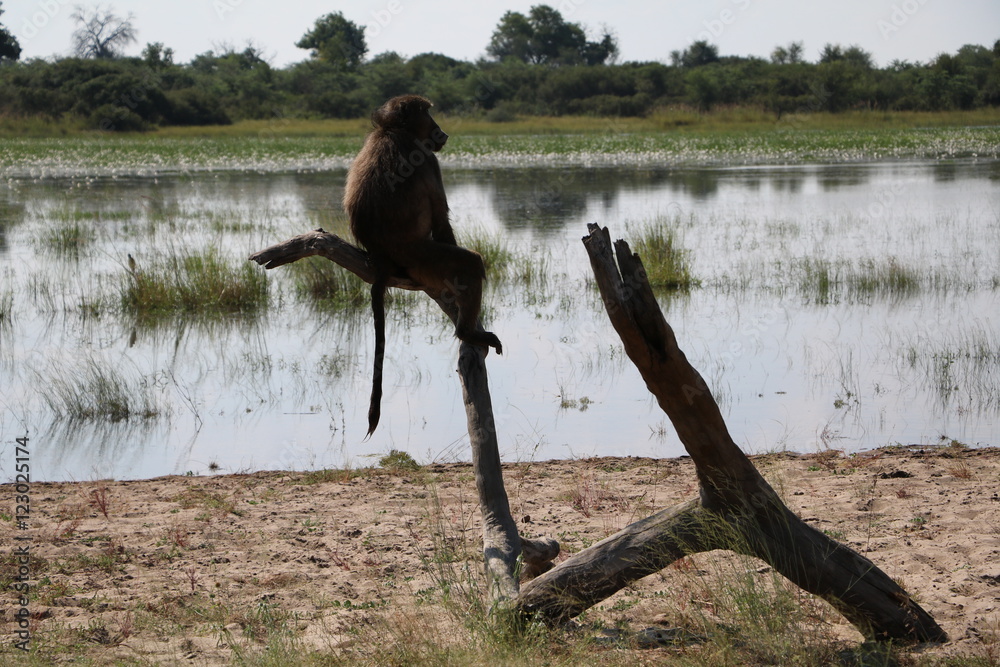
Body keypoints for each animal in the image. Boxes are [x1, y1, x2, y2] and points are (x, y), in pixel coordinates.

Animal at [343, 95, 502, 437]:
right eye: (428, 114)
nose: (442, 131)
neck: (392, 131)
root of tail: (381, 257)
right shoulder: (428, 160)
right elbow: (441, 220)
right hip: (421, 259)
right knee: (471, 263)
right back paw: (467, 332)